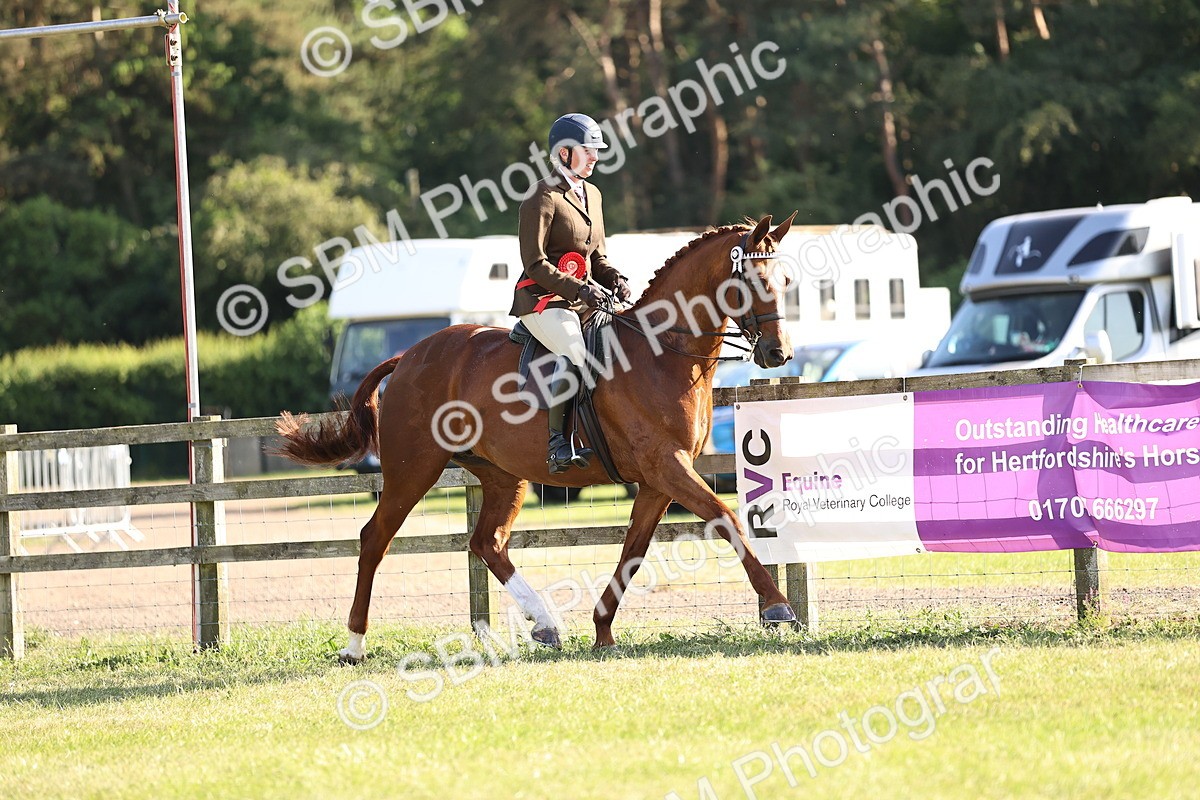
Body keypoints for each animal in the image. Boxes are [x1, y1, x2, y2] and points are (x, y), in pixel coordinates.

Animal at [275, 213, 800, 662]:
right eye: (754, 281)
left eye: (786, 283)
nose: (779, 353)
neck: (661, 352)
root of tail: (407, 357)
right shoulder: (667, 466)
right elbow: (726, 518)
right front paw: (778, 607)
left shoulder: (657, 480)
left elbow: (633, 550)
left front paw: (602, 630)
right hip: (413, 470)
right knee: (375, 539)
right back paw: (354, 645)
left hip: (503, 476)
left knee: (487, 542)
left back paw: (545, 623)